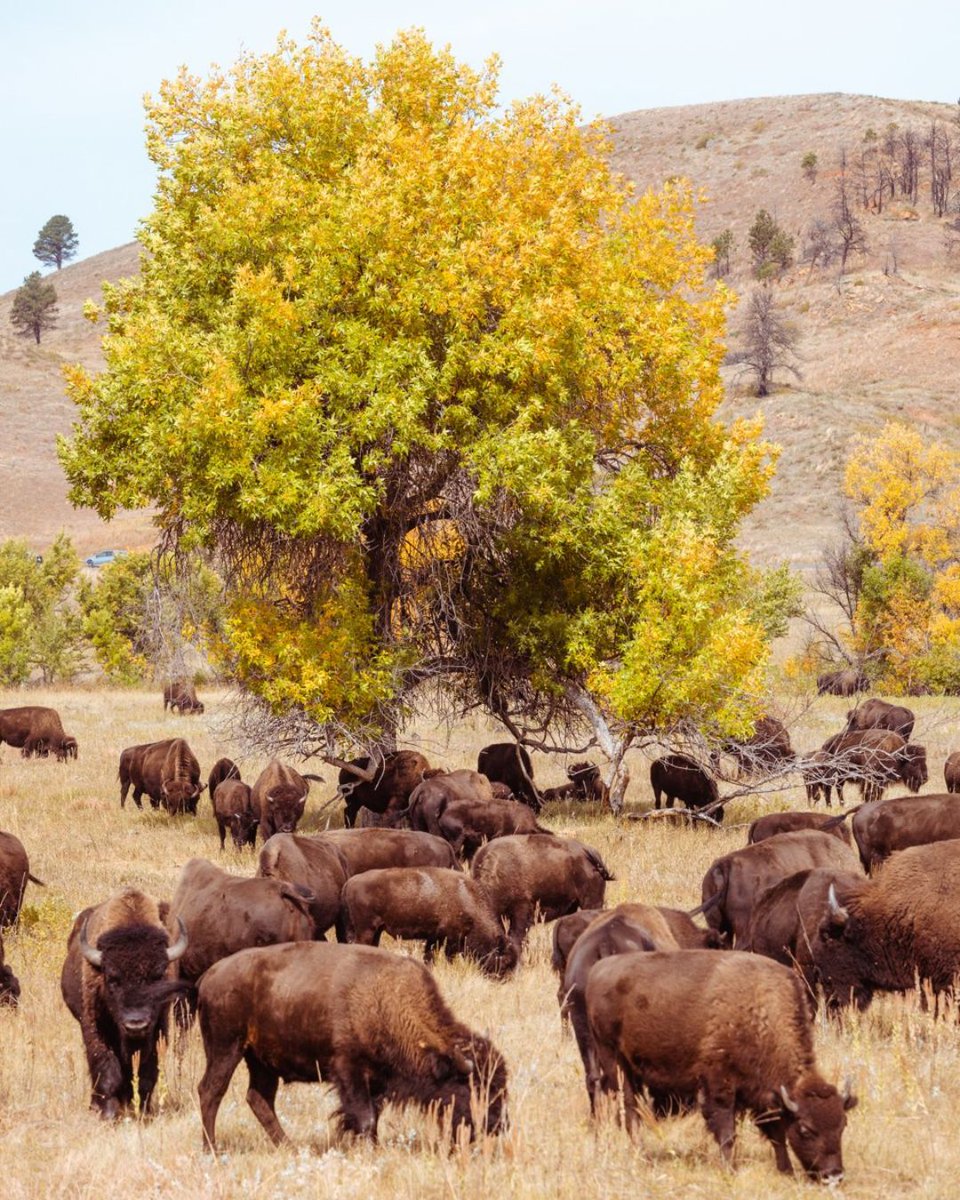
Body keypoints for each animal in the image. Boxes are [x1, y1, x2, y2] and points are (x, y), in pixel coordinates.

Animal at [60, 889, 188, 1118]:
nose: (135, 1024)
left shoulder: (158, 1027)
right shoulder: (94, 1026)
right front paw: (108, 1114)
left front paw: (144, 1111)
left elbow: (147, 1071)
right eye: (112, 979)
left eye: (157, 976)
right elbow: (106, 1066)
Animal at [197, 942, 507, 1148]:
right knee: (211, 1091)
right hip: (226, 1049)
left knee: (259, 1099)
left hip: (262, 1061)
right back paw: (212, 1148)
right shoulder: (348, 1069)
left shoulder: (377, 1081)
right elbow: (364, 1116)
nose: (496, 1127)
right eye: (473, 1087)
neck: (387, 1001)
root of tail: (209, 975)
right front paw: (368, 1148)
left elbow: (371, 1116)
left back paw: (289, 1146)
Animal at [585, 949, 856, 1179]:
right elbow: (727, 1132)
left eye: (843, 1125)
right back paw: (639, 1153)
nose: (834, 1175)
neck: (759, 1011)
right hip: (612, 1059)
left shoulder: (763, 1095)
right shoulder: (719, 1085)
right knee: (627, 1106)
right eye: (806, 1130)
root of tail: (597, 970)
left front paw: (786, 1170)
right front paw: (730, 1170)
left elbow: (776, 1133)